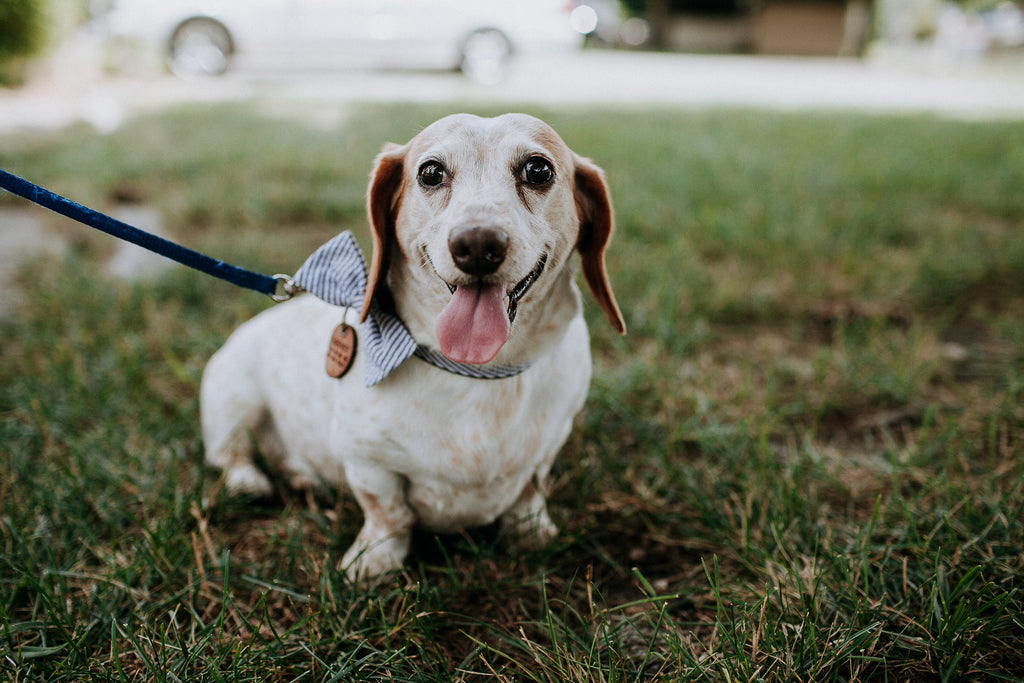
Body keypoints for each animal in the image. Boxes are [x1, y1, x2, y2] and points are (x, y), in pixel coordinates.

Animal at [199, 114, 622, 581]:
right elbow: (389, 514)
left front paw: (532, 535)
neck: (477, 371)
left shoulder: (548, 447)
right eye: (431, 172)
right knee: (230, 454)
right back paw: (251, 482)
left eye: (538, 170)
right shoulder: (367, 461)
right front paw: (373, 561)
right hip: (233, 400)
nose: (477, 245)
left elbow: (529, 494)